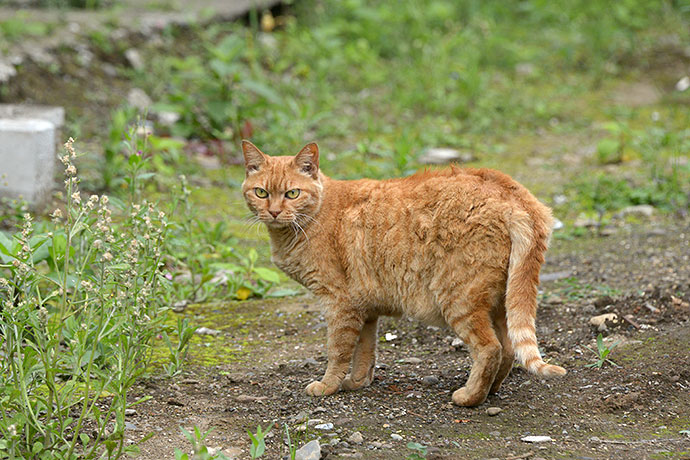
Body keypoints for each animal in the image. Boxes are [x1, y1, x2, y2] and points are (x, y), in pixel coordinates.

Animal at [242, 140, 564, 406]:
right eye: (261, 193)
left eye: (292, 193)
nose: (273, 212)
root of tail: (513, 192)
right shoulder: (364, 308)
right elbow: (365, 351)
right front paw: (357, 382)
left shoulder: (339, 304)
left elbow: (338, 351)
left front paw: (327, 386)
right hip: (499, 300)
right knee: (508, 349)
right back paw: (491, 391)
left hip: (459, 299)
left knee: (490, 349)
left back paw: (469, 397)